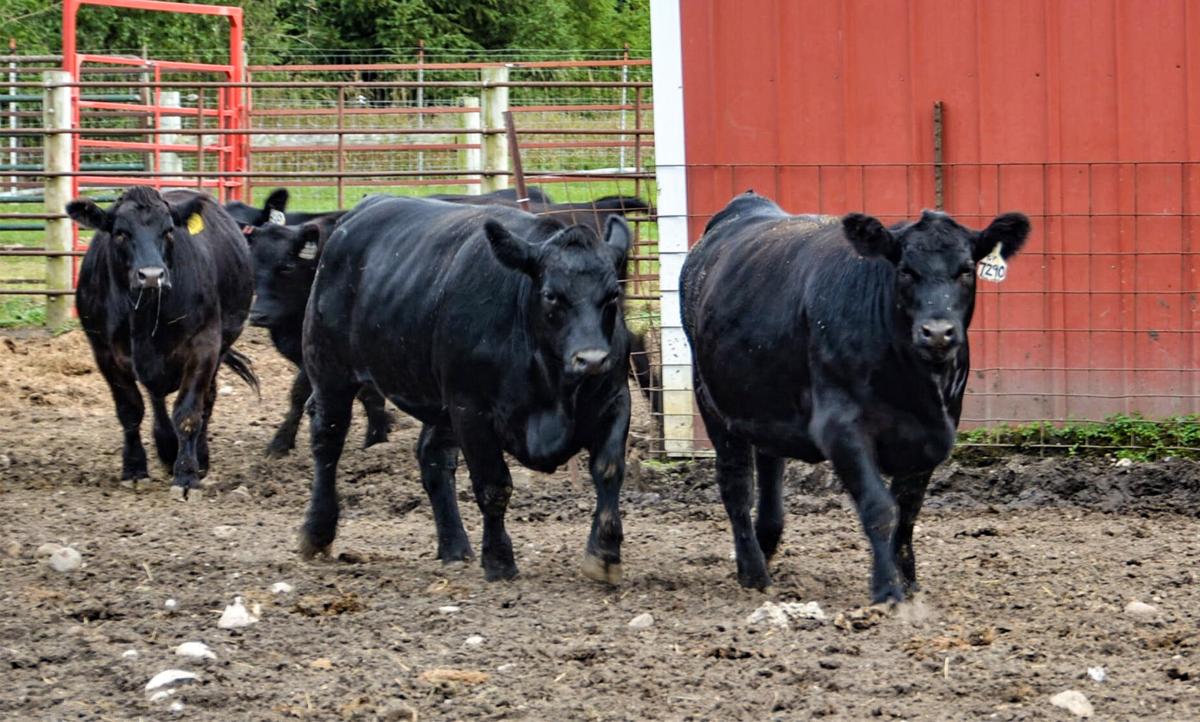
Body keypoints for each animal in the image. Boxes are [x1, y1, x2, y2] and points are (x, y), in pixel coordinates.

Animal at [69, 186, 258, 500]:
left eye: (168, 231)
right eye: (120, 233)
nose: (151, 276)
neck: (145, 312)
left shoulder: (204, 346)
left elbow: (188, 413)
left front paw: (187, 475)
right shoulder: (105, 353)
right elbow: (130, 410)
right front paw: (134, 469)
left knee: (206, 400)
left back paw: (197, 456)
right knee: (155, 397)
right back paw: (166, 446)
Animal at [300, 196, 632, 584]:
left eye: (612, 295)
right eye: (551, 296)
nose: (591, 359)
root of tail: (360, 211)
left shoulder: (615, 400)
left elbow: (608, 469)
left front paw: (604, 554)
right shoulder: (471, 410)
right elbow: (493, 485)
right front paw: (500, 561)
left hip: (438, 402)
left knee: (432, 457)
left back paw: (454, 547)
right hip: (329, 370)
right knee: (327, 441)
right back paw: (316, 531)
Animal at [680, 191, 1029, 602]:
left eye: (966, 270)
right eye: (905, 271)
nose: (937, 333)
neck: (912, 383)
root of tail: (746, 205)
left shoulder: (935, 433)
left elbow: (908, 509)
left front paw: (906, 578)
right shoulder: (841, 429)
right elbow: (879, 509)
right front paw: (886, 589)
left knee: (769, 465)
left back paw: (766, 541)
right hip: (710, 396)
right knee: (735, 482)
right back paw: (753, 571)